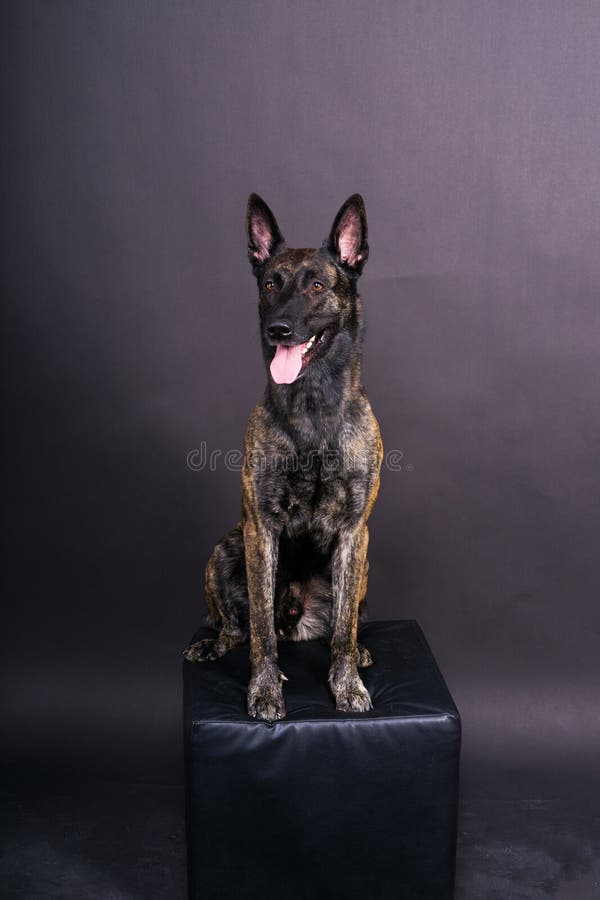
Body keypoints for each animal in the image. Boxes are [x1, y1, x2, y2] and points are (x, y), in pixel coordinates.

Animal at [184, 190, 384, 716]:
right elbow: (260, 635)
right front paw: (265, 689)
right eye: (270, 283)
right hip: (224, 550)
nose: (279, 329)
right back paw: (213, 644)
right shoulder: (261, 530)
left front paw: (347, 683)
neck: (312, 407)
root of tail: (295, 617)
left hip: (363, 563)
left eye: (316, 285)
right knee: (238, 627)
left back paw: (359, 650)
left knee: (343, 622)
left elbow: (342, 629)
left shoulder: (354, 532)